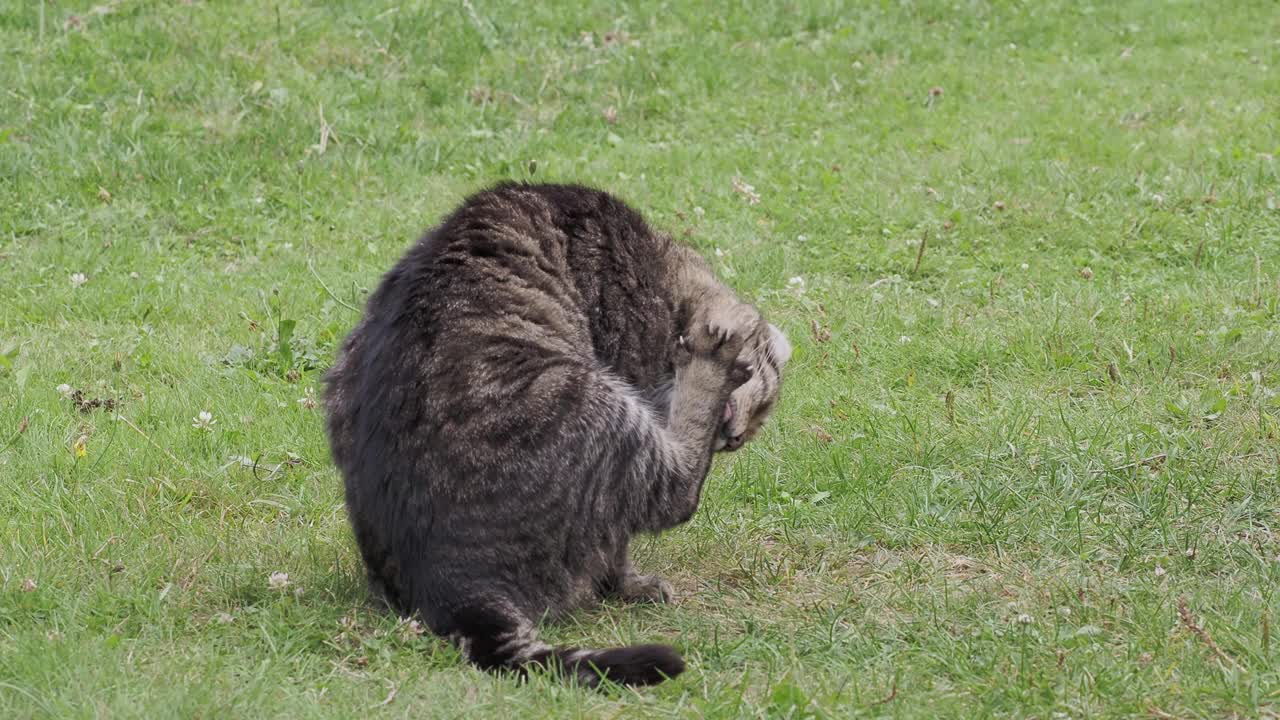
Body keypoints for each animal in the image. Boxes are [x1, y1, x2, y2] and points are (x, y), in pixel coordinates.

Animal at [322, 180, 788, 681]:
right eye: (761, 405)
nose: (736, 439)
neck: (663, 268)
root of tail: (450, 588)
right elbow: (619, 547)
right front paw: (626, 583)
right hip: (588, 399)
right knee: (678, 495)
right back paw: (709, 364)